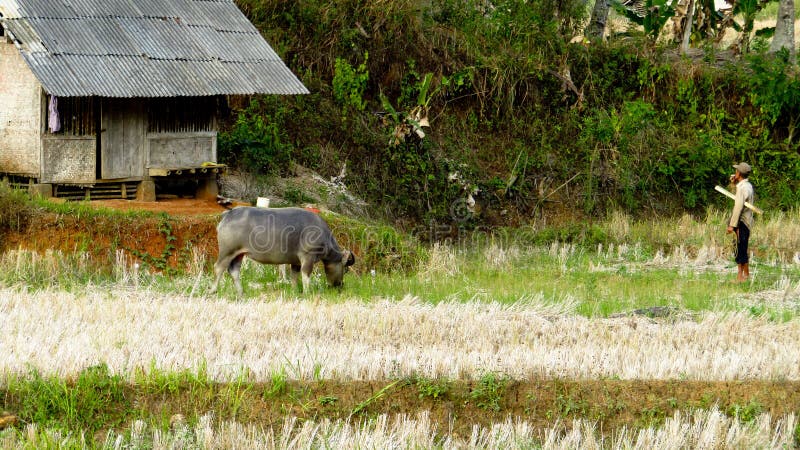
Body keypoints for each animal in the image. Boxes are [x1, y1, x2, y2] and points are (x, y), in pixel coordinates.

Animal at [211, 207, 354, 296]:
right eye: (346, 269)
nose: (340, 285)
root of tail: (228, 214)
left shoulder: (296, 261)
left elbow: (294, 276)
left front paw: (295, 291)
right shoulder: (308, 257)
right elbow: (306, 274)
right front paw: (307, 292)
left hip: (238, 254)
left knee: (234, 270)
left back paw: (241, 293)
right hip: (227, 251)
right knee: (218, 267)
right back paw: (213, 291)